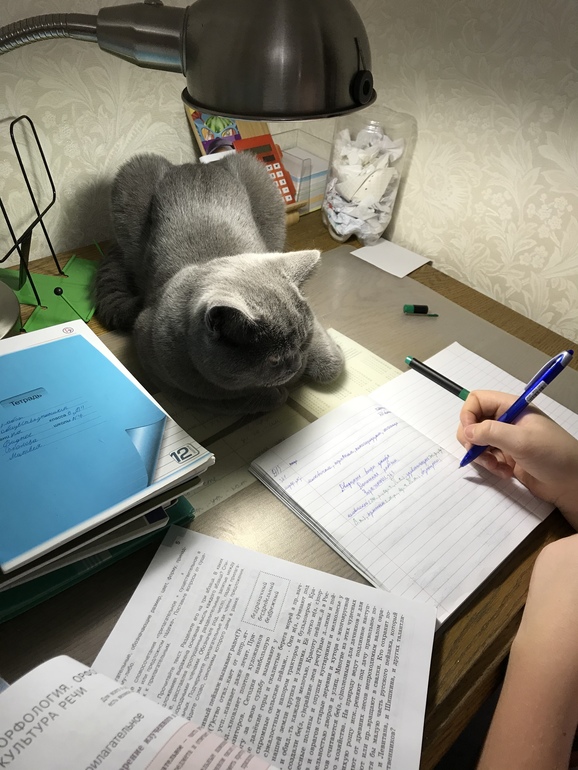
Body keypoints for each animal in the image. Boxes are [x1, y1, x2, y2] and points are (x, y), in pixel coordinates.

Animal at [94, 151, 345, 414]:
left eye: (304, 340)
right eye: (274, 359)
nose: (296, 365)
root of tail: (192, 166)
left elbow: (332, 367)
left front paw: (328, 357)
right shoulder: (161, 371)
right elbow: (228, 400)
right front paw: (274, 395)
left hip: (260, 182)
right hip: (132, 180)